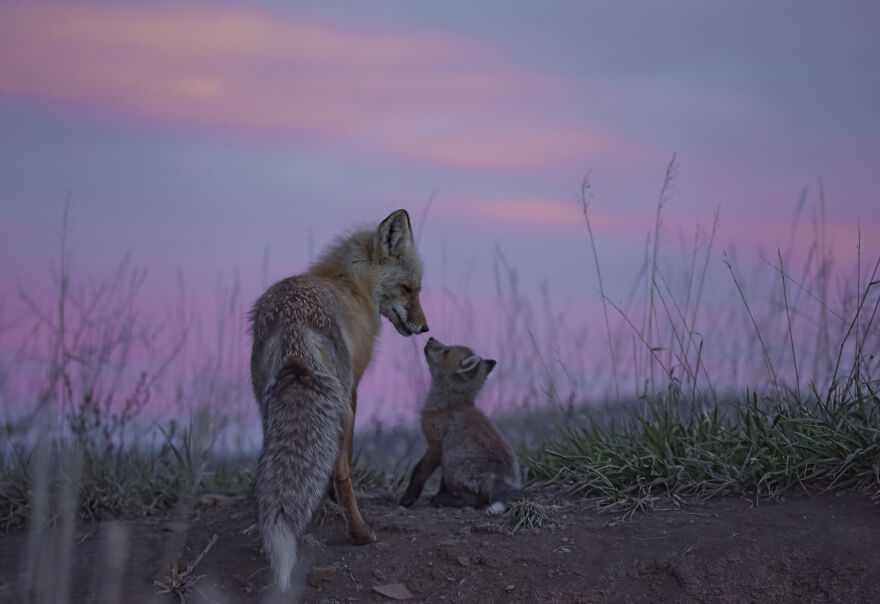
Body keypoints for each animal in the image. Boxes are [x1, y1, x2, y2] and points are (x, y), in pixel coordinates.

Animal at [249, 209, 428, 591]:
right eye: (408, 288)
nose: (425, 328)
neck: (349, 283)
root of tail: (294, 319)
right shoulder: (353, 389)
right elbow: (341, 458)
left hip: (265, 403)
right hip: (340, 402)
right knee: (344, 472)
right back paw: (360, 533)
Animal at [399, 337, 523, 509]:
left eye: (446, 351)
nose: (430, 338)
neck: (450, 404)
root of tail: (499, 478)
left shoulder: (437, 445)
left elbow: (419, 471)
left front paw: (408, 498)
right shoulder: (442, 451)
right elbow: (441, 483)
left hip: (452, 463)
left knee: (473, 501)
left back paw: (444, 500)